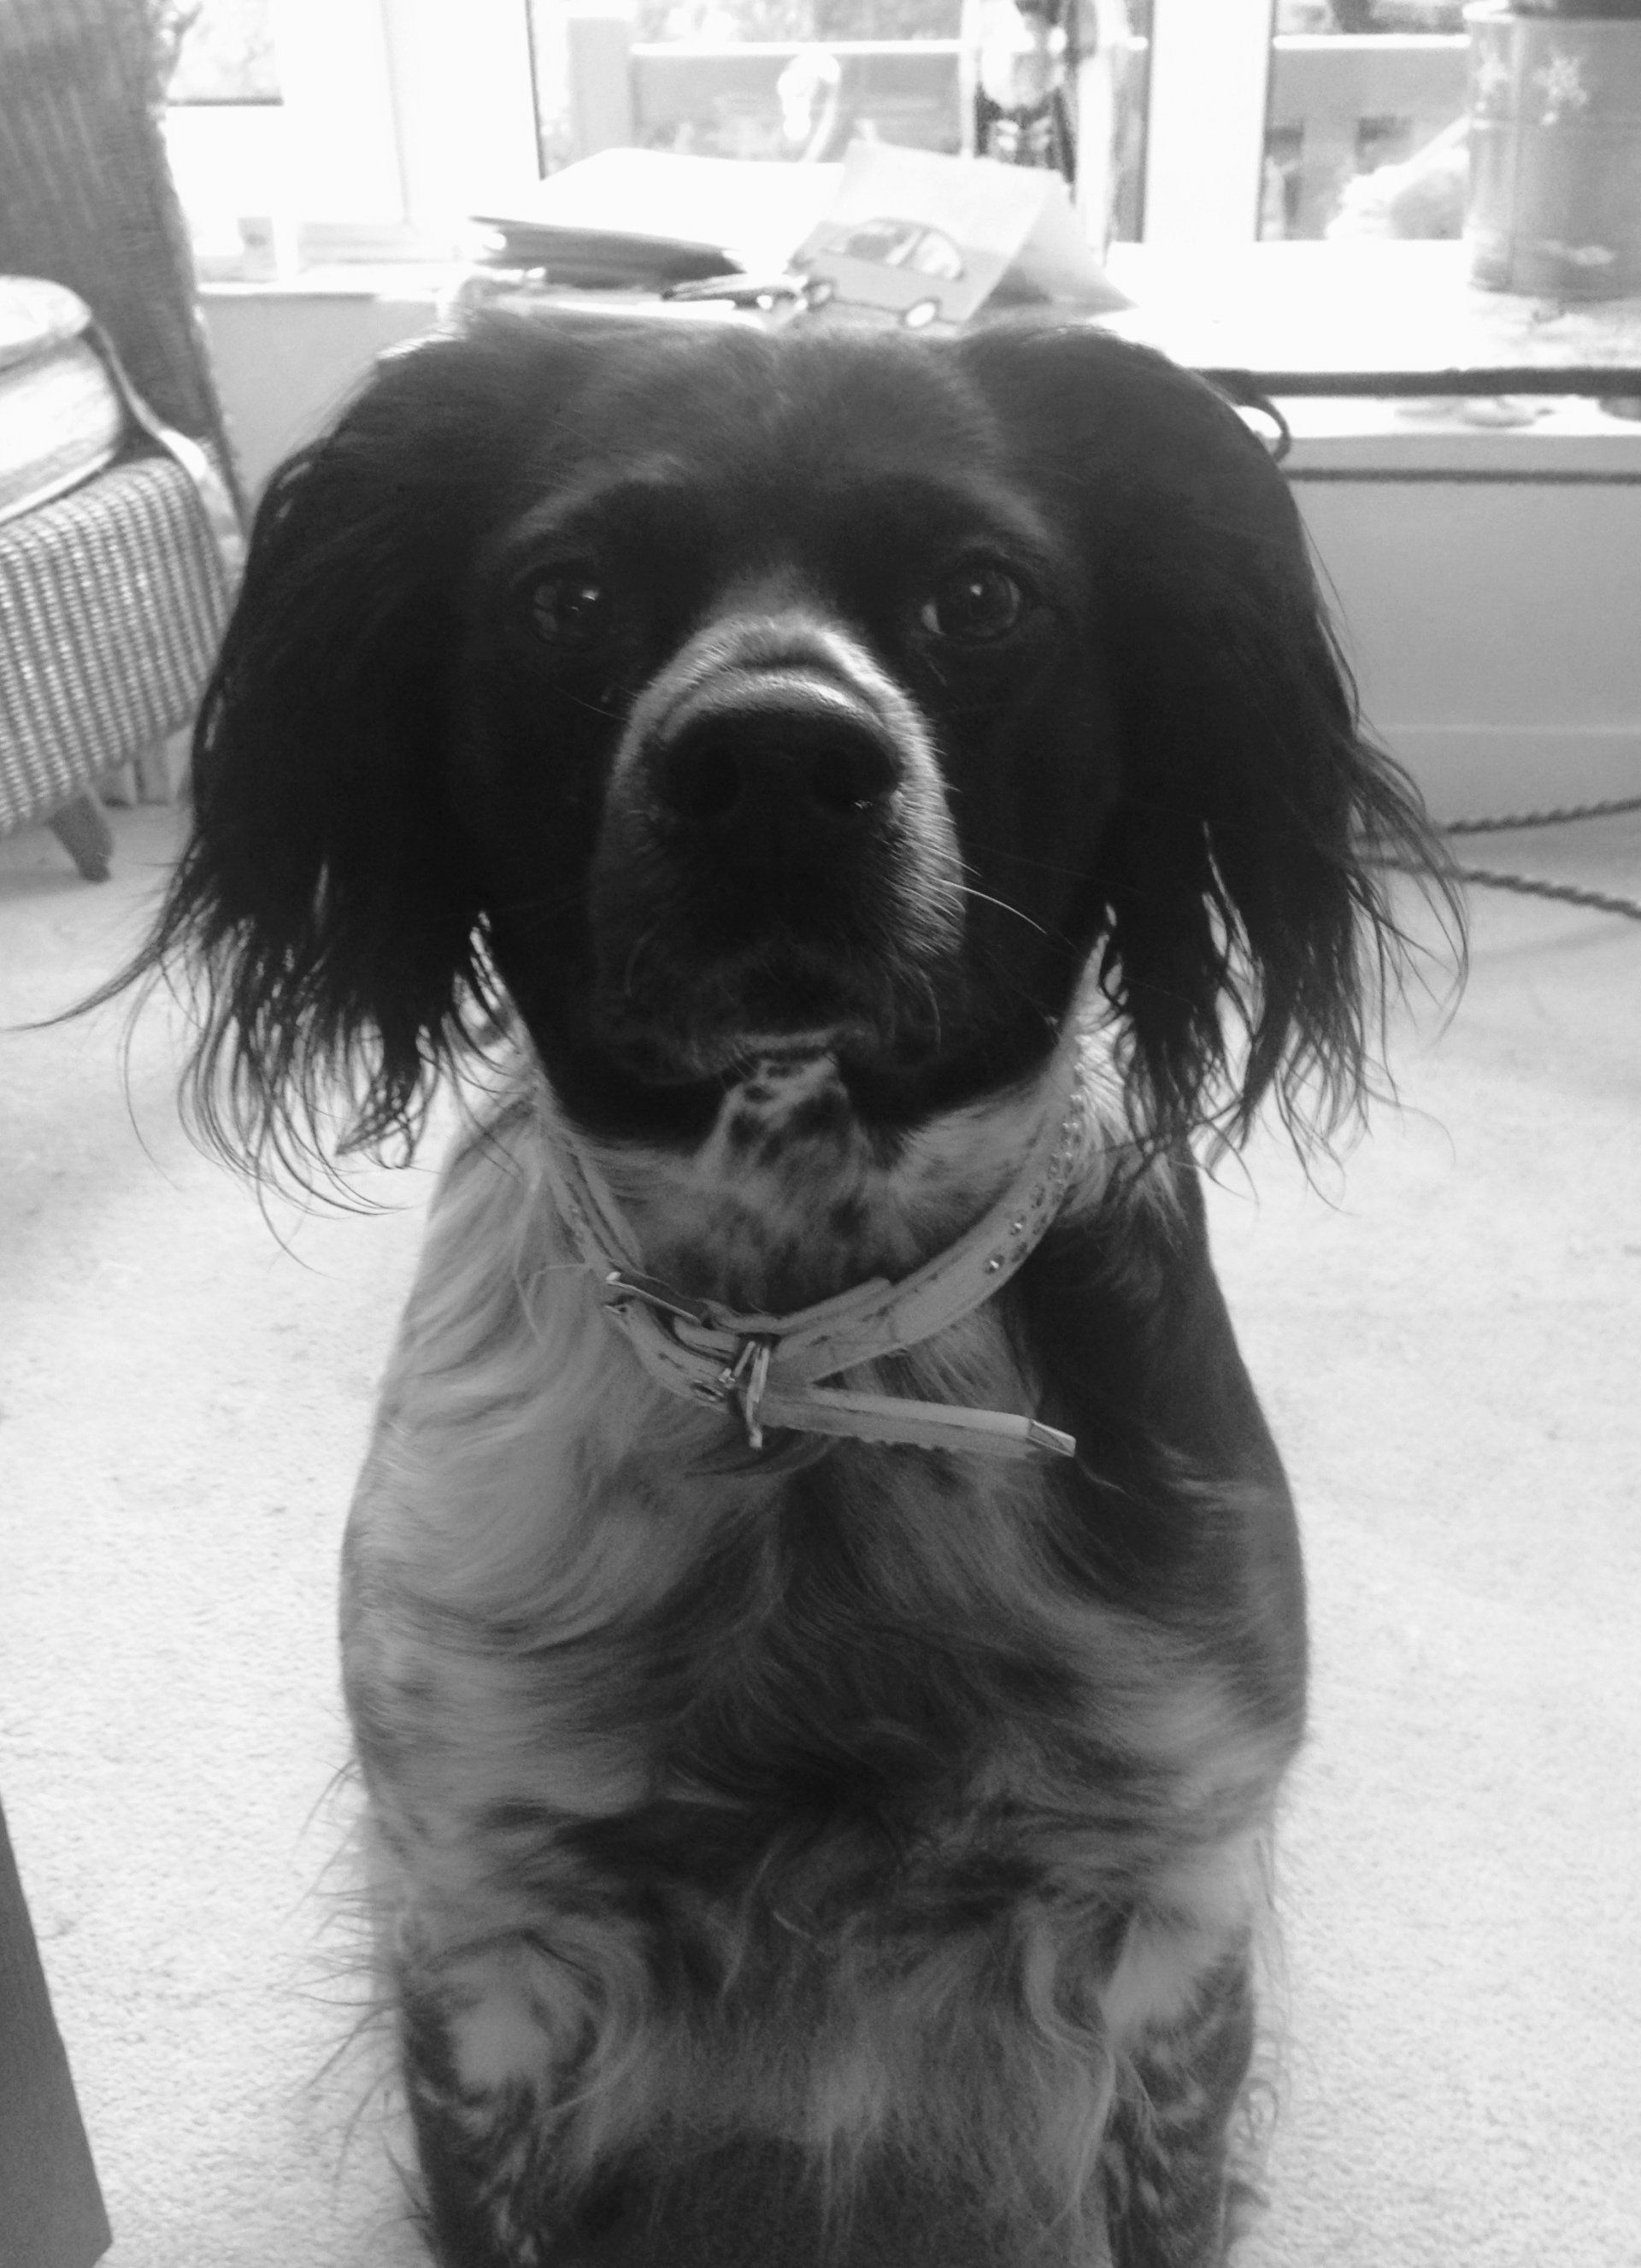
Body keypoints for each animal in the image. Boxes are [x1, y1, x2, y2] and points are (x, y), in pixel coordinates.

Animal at [110, 312, 1449, 2265]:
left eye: (979, 594)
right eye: (570, 596)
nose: (770, 763)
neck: (802, 1357)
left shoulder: (1170, 1913)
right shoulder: (478, 1934)